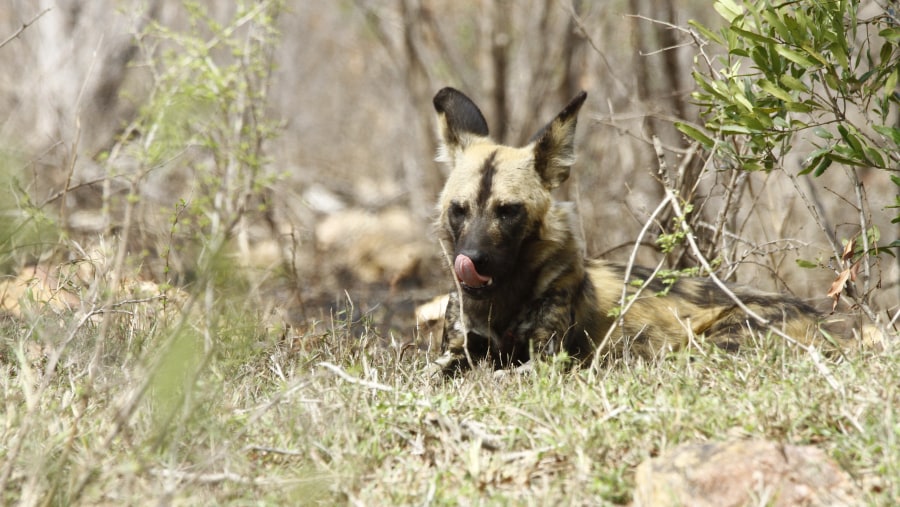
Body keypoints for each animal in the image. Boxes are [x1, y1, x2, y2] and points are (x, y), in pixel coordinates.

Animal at [428, 87, 852, 376]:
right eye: (459, 210)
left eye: (509, 211)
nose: (473, 260)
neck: (500, 301)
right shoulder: (454, 354)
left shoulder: (548, 362)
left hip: (710, 347)